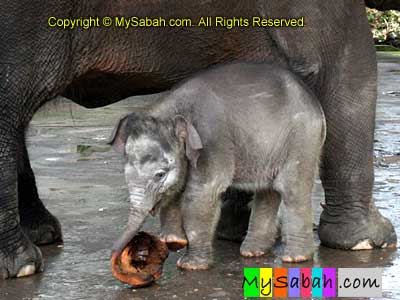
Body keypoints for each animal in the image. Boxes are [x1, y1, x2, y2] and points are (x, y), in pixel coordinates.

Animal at [109, 62, 324, 270]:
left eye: (160, 175)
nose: (115, 256)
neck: (173, 111)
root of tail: (314, 100)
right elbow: (177, 189)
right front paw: (174, 241)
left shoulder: (212, 141)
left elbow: (202, 192)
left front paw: (190, 265)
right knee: (267, 191)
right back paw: (252, 252)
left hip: (302, 139)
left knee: (292, 188)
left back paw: (295, 258)